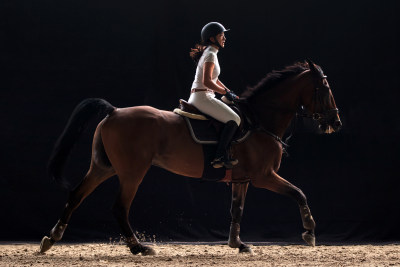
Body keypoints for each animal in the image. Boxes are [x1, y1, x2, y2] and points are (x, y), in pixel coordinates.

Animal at [39, 60, 342, 255]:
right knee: (119, 207)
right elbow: (299, 193)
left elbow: (237, 210)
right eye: (325, 89)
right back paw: (138, 247)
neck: (259, 120)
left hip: (104, 167)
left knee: (76, 195)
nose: (335, 123)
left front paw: (237, 244)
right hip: (132, 172)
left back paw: (51, 239)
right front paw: (310, 232)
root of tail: (114, 111)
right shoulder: (264, 176)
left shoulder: (242, 180)